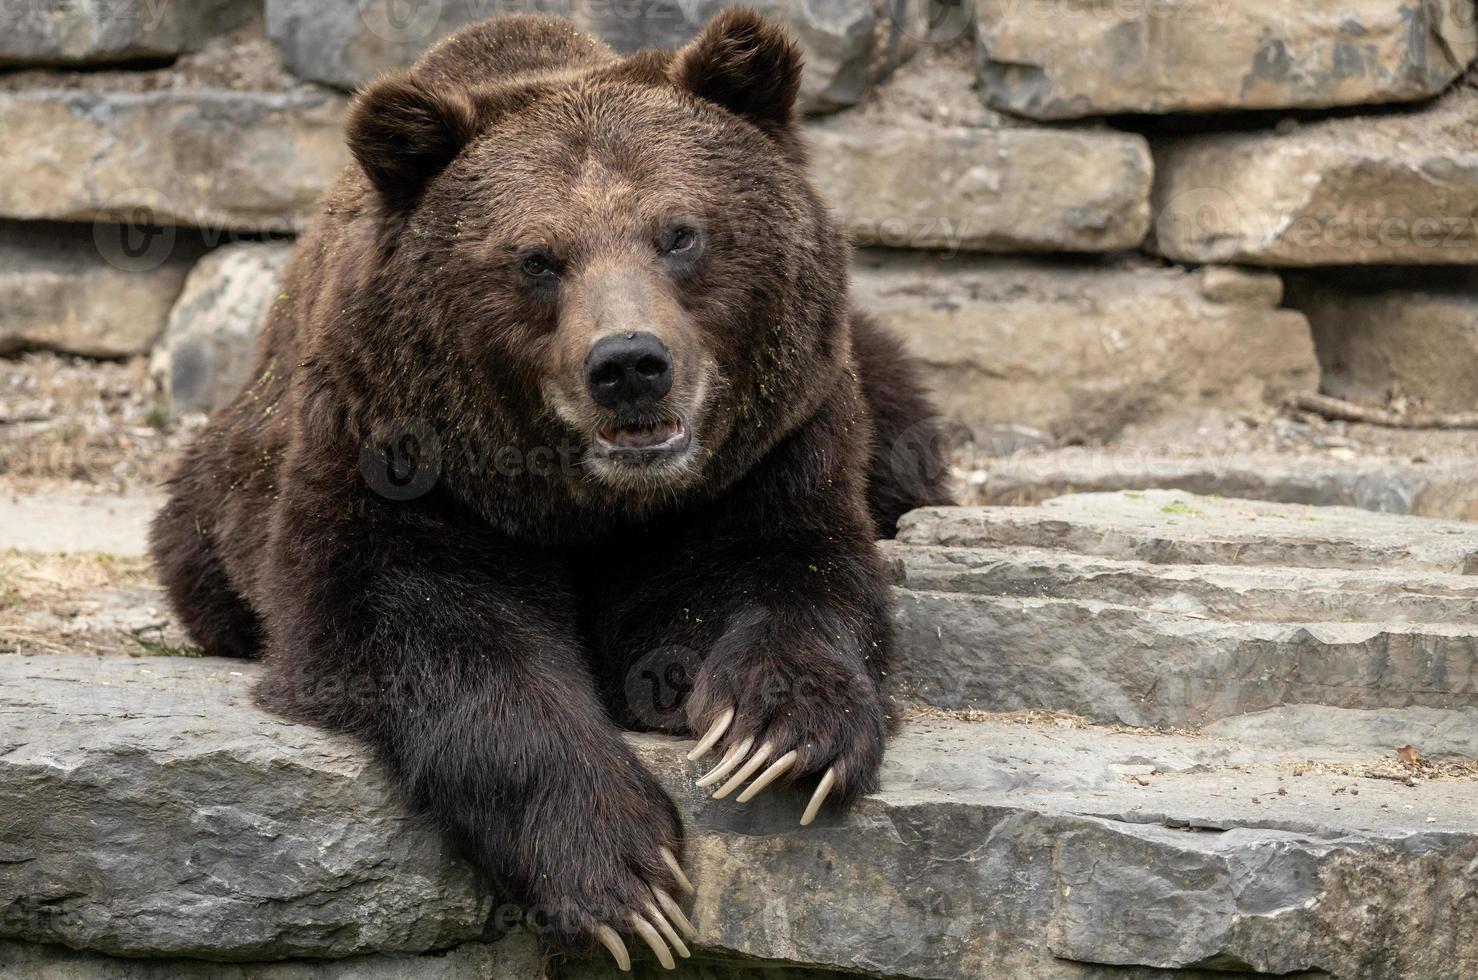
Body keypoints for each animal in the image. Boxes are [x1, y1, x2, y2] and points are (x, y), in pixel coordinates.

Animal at [150, 7, 951, 969]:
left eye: (679, 232)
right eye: (537, 259)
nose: (631, 364)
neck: (591, 502)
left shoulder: (771, 451)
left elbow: (791, 570)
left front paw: (776, 735)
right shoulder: (393, 457)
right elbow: (423, 627)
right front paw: (622, 873)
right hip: (213, 508)